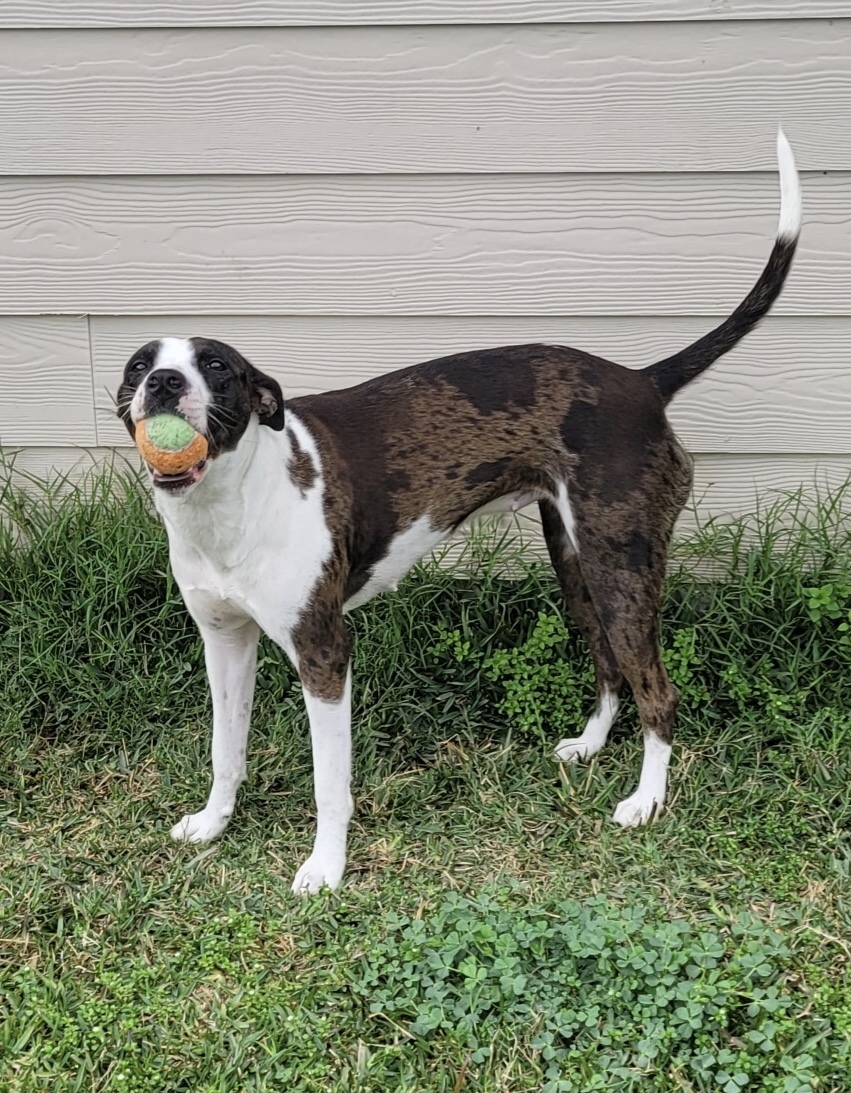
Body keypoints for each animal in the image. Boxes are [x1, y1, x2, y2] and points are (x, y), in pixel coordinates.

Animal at [117, 130, 801, 893]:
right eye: (137, 365)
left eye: (217, 367)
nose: (162, 382)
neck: (231, 503)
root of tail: (643, 382)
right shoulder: (224, 641)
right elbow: (224, 746)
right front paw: (214, 823)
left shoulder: (324, 652)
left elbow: (330, 783)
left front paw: (325, 867)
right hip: (578, 565)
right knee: (609, 665)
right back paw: (590, 745)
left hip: (622, 566)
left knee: (658, 690)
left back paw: (645, 800)